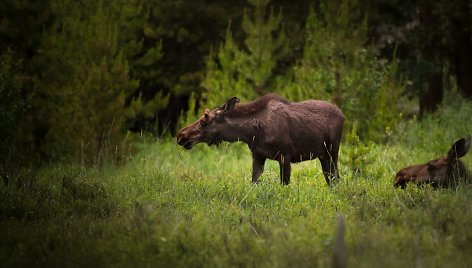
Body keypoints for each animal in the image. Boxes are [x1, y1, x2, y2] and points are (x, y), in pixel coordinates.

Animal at [175, 93, 344, 185]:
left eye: (204, 119)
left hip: (333, 151)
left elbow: (284, 184)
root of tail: (343, 115)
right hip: (323, 155)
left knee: (336, 178)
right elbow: (254, 182)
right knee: (330, 179)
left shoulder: (285, 155)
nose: (181, 135)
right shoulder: (258, 156)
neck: (250, 132)